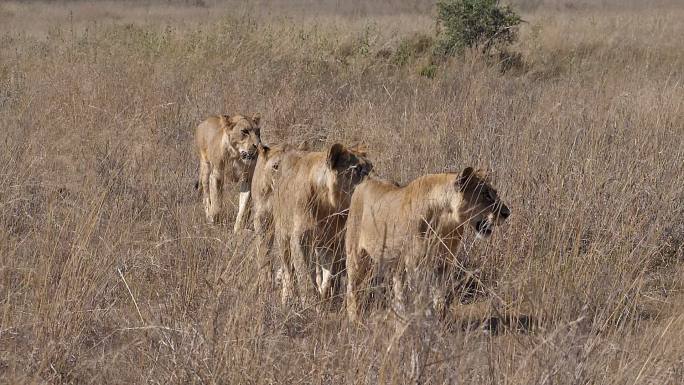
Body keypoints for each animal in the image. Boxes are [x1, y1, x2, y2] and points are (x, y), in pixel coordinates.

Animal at [272, 142, 374, 304]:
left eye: (371, 167)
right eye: (357, 169)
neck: (328, 206)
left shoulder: (333, 243)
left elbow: (329, 277)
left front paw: (324, 298)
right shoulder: (299, 239)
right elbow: (305, 275)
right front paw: (310, 302)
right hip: (283, 235)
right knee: (288, 270)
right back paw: (287, 298)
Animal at [348, 166, 508, 322]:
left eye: (494, 193)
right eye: (486, 195)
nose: (507, 213)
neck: (446, 223)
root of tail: (366, 181)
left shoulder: (444, 262)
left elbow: (439, 293)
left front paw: (441, 318)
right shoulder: (415, 264)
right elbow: (419, 294)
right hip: (355, 255)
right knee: (353, 288)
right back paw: (355, 319)